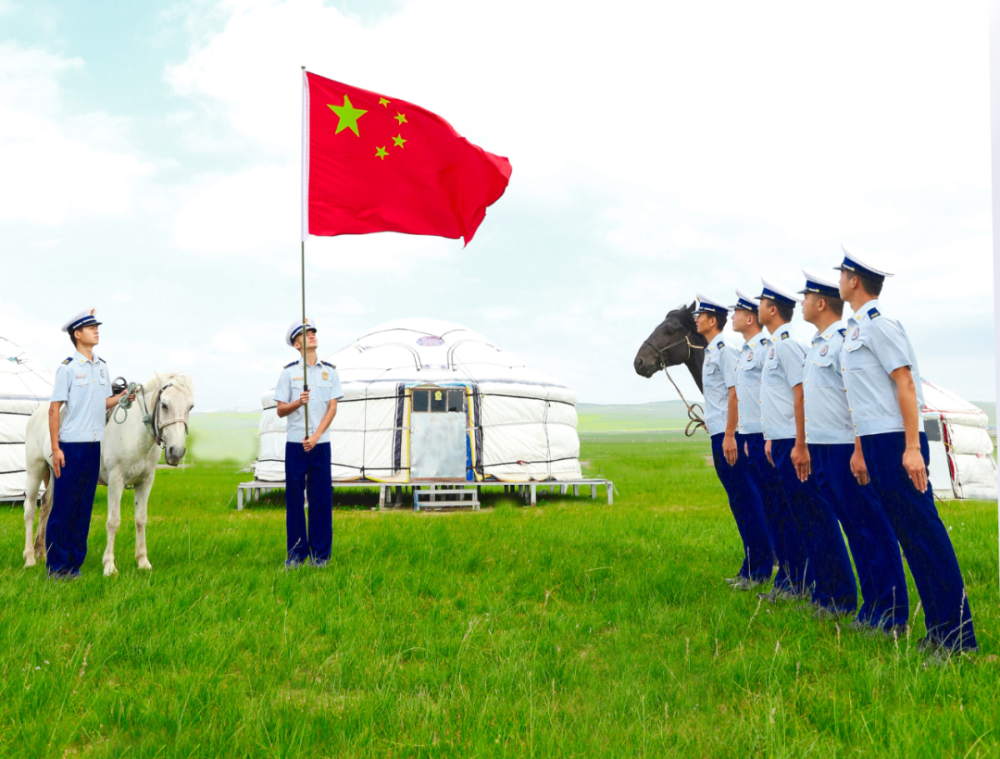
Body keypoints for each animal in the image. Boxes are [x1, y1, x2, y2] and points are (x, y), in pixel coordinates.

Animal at [22, 374, 194, 576]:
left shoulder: (145, 482)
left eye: (190, 407)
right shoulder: (116, 480)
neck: (134, 433)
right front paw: (109, 566)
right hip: (35, 469)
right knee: (30, 509)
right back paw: (30, 558)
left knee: (46, 507)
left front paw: (143, 562)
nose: (177, 451)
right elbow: (113, 521)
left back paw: (42, 552)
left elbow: (141, 520)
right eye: (165, 405)